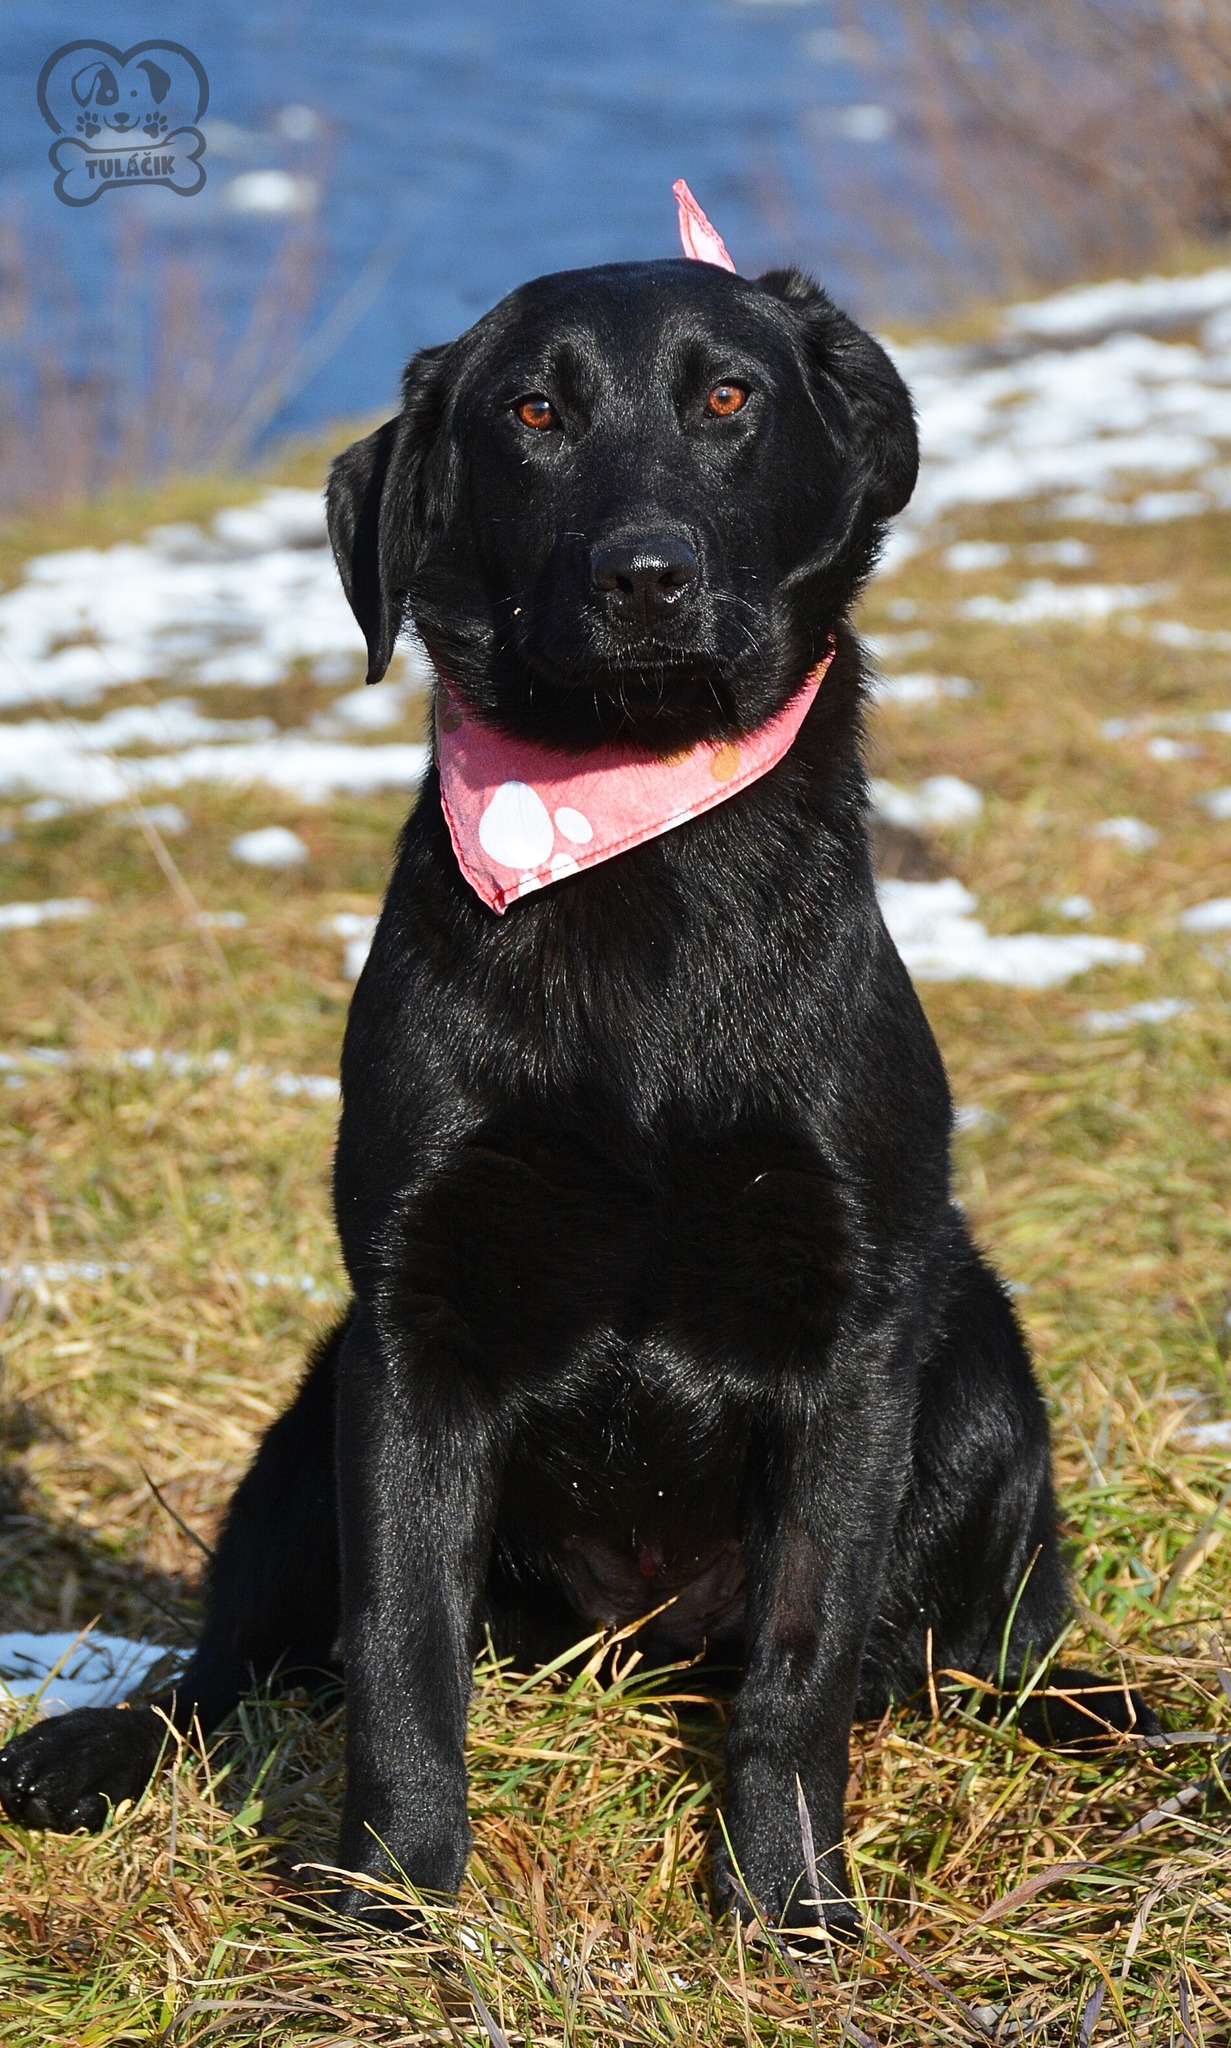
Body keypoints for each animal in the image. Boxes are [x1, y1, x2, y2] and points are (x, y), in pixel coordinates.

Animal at [0, 252, 1153, 1939]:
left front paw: (785, 1902)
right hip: (309, 1409)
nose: (644, 577)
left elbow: (799, 1671)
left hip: (979, 1372)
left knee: (961, 1664)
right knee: (229, 1671)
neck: (635, 854)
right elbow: (400, 1652)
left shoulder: (852, 1326)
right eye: (531, 414)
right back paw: (89, 1749)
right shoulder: (409, 1329)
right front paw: (392, 1903)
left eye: (726, 396)